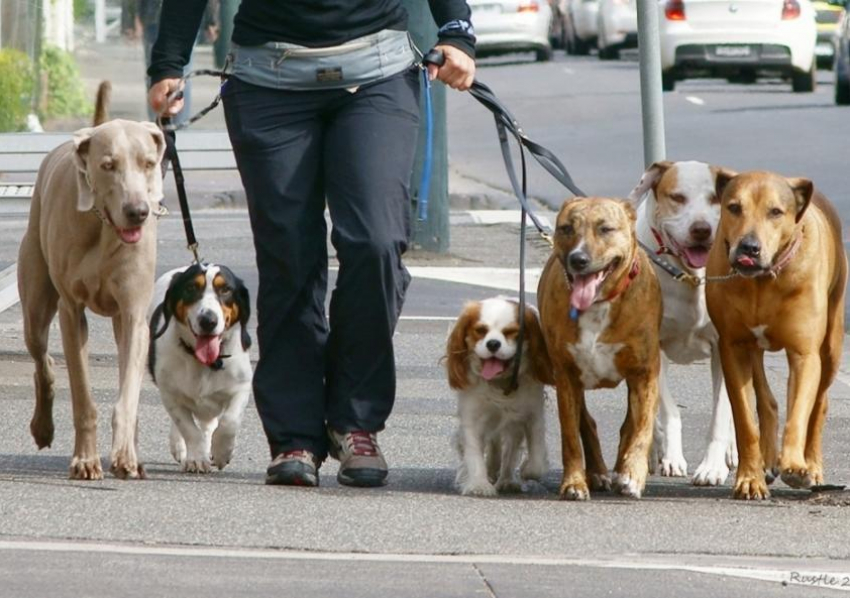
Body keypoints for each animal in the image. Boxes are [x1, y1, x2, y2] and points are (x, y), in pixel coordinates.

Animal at [536, 198, 664, 502]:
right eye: (567, 228)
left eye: (605, 229)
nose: (578, 259)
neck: (599, 303)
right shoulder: (566, 375)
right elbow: (571, 435)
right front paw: (574, 482)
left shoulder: (645, 373)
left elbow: (641, 428)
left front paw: (632, 474)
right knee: (586, 422)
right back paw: (596, 473)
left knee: (629, 425)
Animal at [704, 170, 844, 502]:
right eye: (733, 207)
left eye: (776, 212)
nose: (749, 247)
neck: (763, 280)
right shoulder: (733, 346)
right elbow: (745, 420)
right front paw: (749, 478)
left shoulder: (805, 353)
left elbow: (801, 410)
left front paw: (795, 465)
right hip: (754, 347)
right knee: (767, 401)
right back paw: (767, 462)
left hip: (832, 344)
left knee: (819, 403)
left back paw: (812, 465)